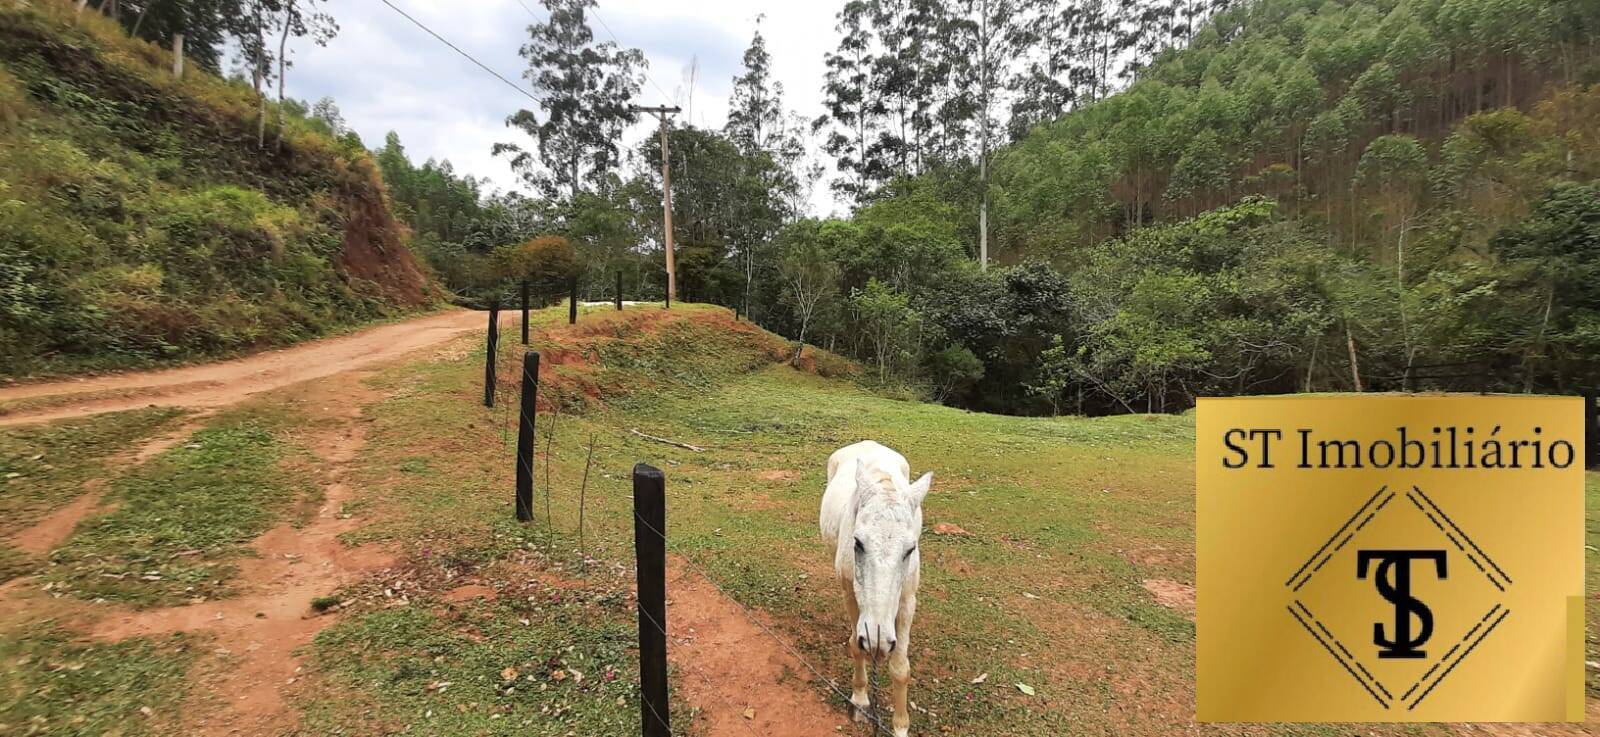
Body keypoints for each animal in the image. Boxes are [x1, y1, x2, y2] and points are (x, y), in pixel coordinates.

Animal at [819, 438, 934, 732]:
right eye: (858, 542)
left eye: (910, 549)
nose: (878, 642)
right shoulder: (850, 593)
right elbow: (856, 646)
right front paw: (860, 700)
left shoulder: (907, 600)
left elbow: (901, 668)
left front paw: (900, 727)